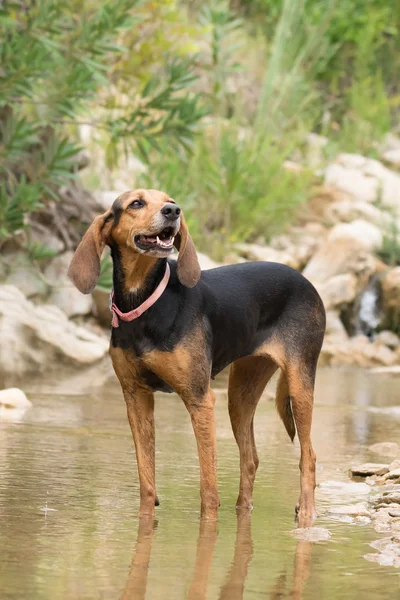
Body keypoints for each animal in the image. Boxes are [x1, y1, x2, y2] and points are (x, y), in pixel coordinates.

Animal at [68, 188, 324, 524]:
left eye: (169, 200)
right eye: (136, 203)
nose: (173, 211)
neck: (145, 302)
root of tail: (305, 280)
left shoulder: (199, 399)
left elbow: (209, 488)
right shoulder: (136, 398)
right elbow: (146, 479)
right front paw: (146, 520)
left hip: (299, 383)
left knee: (309, 454)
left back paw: (306, 513)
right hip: (240, 392)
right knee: (250, 458)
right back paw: (244, 510)